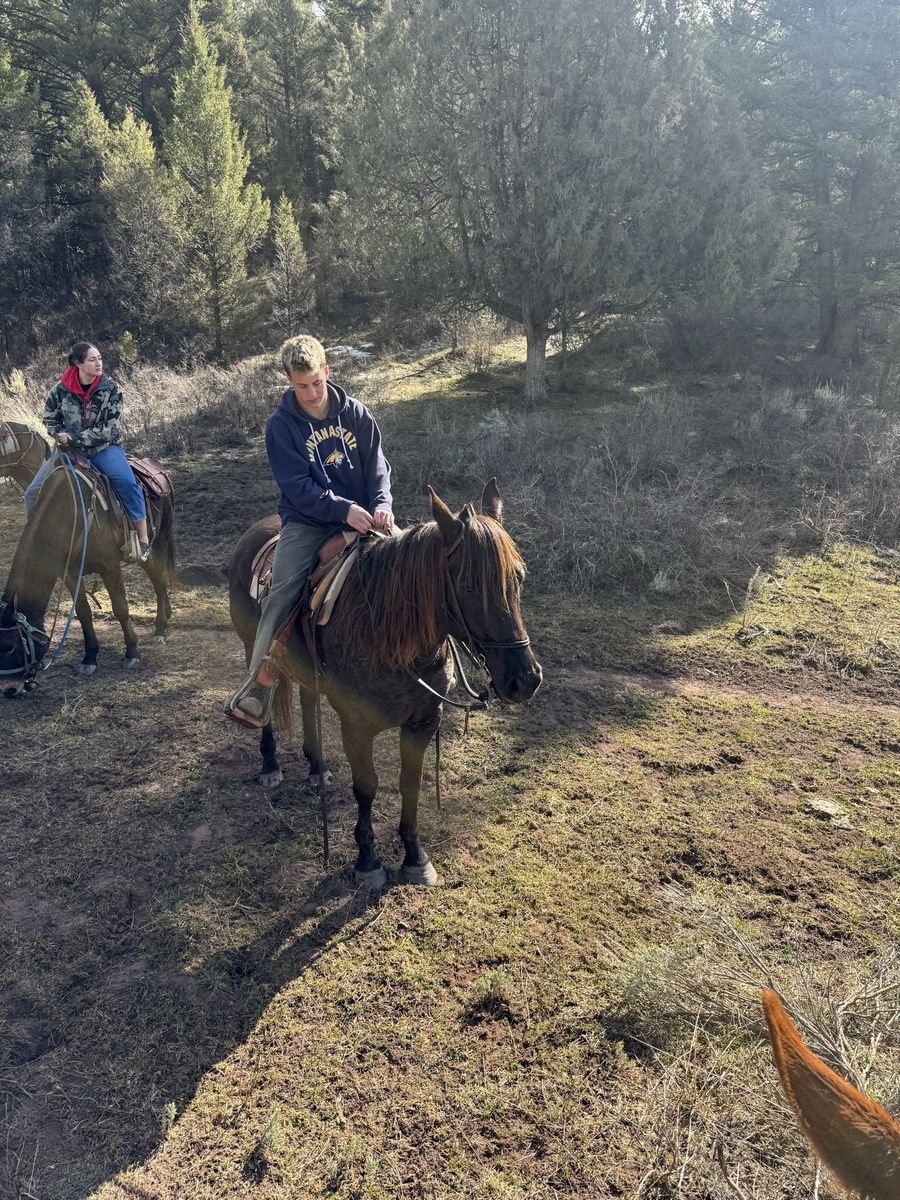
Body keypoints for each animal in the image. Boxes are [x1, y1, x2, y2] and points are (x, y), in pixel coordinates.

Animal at [0, 455, 176, 696]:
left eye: (10, 648)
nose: (8, 689)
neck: (71, 514)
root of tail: (159, 470)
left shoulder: (110, 567)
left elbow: (120, 609)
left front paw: (132, 652)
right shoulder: (69, 573)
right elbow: (83, 612)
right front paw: (90, 656)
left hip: (157, 544)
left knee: (159, 581)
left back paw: (160, 628)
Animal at [228, 480, 542, 888]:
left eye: (519, 577)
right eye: (469, 585)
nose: (525, 679)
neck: (389, 635)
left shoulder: (424, 721)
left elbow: (410, 783)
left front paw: (415, 857)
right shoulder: (356, 725)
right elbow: (367, 785)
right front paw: (368, 861)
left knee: (308, 699)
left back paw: (317, 766)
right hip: (253, 643)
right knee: (263, 700)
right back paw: (269, 764)